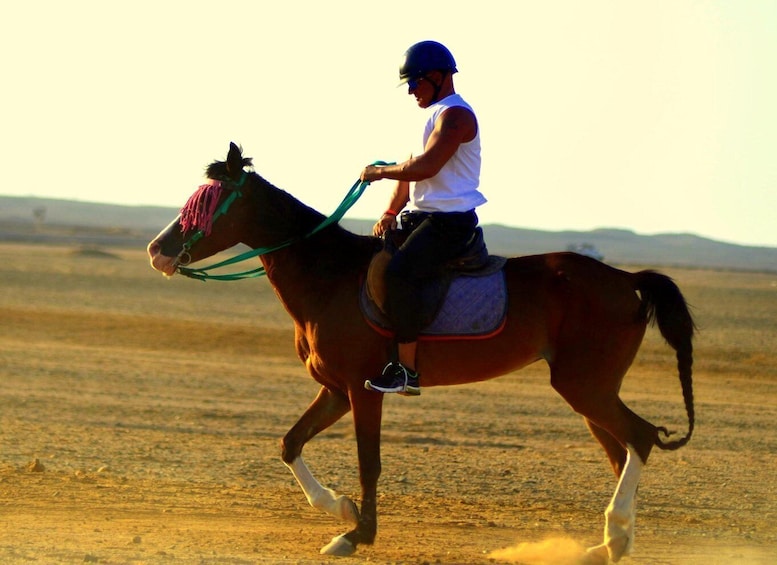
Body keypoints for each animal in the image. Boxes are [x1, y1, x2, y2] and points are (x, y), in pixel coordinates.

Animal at [147, 143, 694, 563]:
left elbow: (369, 462)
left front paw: (356, 534)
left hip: (585, 386)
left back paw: (614, 535)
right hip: (590, 391)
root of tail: (624, 279)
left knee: (640, 438)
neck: (330, 276)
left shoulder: (365, 389)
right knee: (622, 451)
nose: (157, 250)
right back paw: (610, 544)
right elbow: (290, 443)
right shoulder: (336, 391)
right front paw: (341, 509)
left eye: (208, 200)